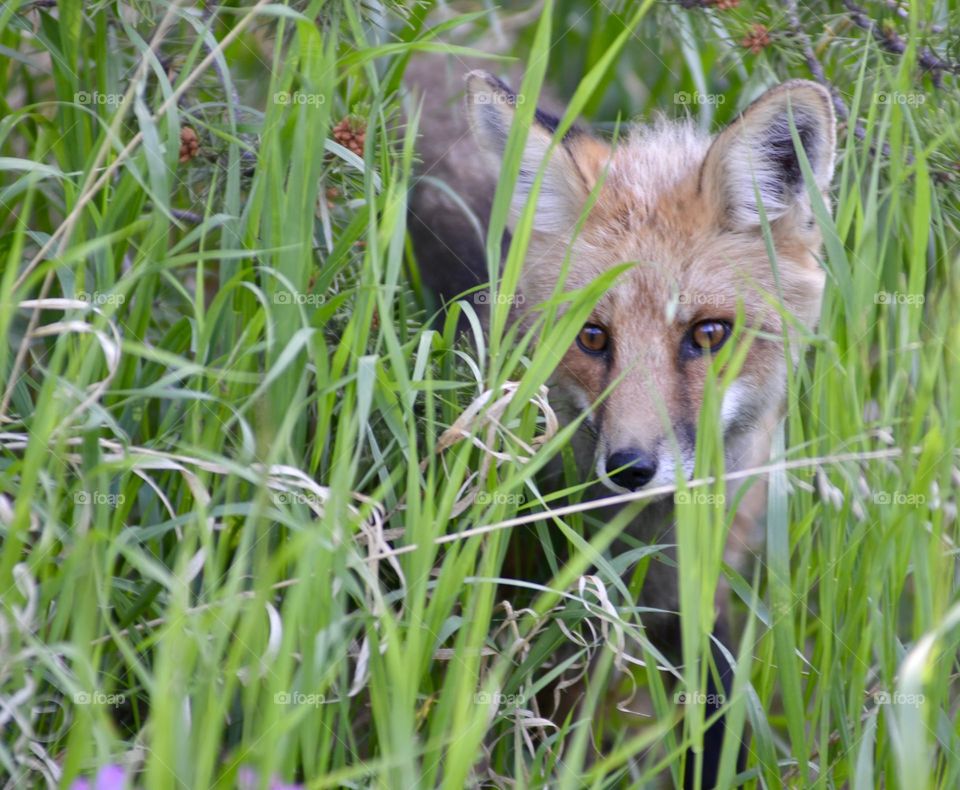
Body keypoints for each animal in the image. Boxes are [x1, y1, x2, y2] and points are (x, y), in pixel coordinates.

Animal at [407, 57, 836, 788]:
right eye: (593, 337)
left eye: (708, 333)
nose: (630, 467)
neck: (646, 546)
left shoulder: (701, 606)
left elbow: (712, 733)